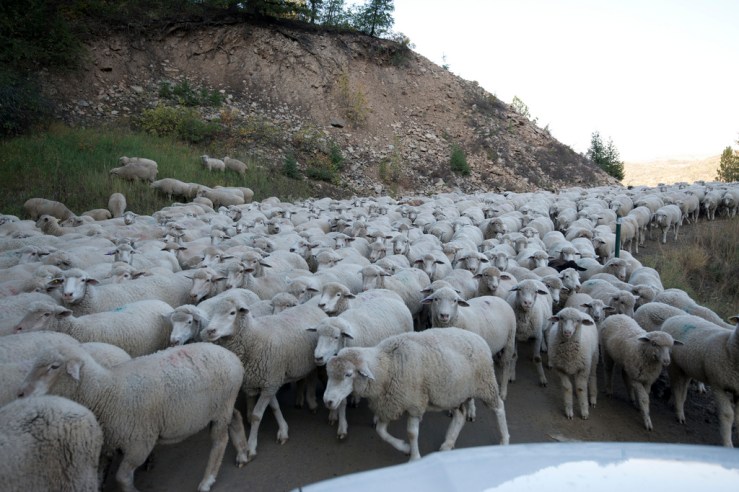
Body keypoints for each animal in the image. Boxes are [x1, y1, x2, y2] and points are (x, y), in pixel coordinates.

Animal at [18, 342, 248, 492]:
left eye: (54, 367)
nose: (20, 394)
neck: (105, 392)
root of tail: (232, 356)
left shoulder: (140, 442)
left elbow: (121, 478)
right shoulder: (107, 446)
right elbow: (100, 477)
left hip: (221, 408)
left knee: (220, 440)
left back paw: (207, 480)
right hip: (224, 406)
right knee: (236, 417)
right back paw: (243, 453)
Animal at [201, 299, 327, 461]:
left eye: (232, 313)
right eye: (214, 312)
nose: (210, 331)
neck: (254, 337)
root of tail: (313, 306)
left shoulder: (270, 384)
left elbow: (256, 415)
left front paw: (250, 447)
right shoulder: (269, 382)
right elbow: (274, 407)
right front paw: (283, 430)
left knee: (316, 376)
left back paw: (315, 403)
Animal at [323, 328, 509, 461]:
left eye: (348, 374)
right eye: (329, 374)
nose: (328, 401)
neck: (387, 365)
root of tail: (479, 338)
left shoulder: (414, 403)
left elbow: (412, 433)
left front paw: (414, 457)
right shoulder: (391, 403)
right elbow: (381, 431)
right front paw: (404, 447)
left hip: (485, 384)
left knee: (499, 407)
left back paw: (505, 440)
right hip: (453, 392)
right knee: (460, 415)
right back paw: (447, 444)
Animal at [661, 314, 739, 447]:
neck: (728, 346)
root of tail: (677, 316)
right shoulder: (718, 385)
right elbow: (727, 415)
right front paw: (728, 444)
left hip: (686, 368)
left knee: (682, 388)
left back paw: (675, 402)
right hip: (673, 365)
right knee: (676, 387)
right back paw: (679, 414)